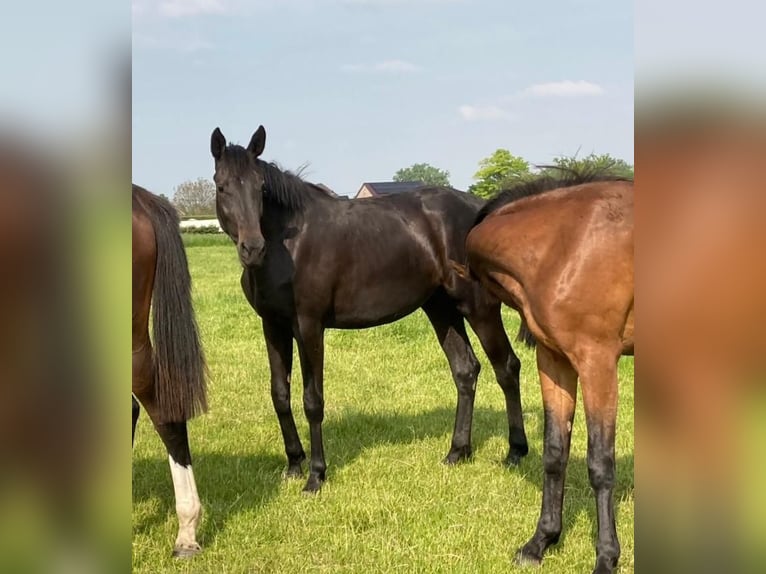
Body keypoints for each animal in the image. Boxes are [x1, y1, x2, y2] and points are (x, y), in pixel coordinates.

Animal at [209, 125, 529, 494]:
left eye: (260, 187)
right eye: (222, 186)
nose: (253, 248)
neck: (290, 244)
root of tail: (482, 211)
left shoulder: (309, 326)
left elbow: (312, 400)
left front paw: (316, 475)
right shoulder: (273, 325)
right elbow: (280, 394)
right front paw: (293, 465)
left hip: (478, 307)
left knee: (507, 368)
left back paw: (515, 451)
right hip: (441, 308)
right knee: (466, 370)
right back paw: (457, 452)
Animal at [461, 170, 633, 574]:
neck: (563, 244)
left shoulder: (598, 361)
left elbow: (600, 463)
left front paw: (606, 556)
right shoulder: (554, 360)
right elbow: (555, 452)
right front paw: (541, 541)